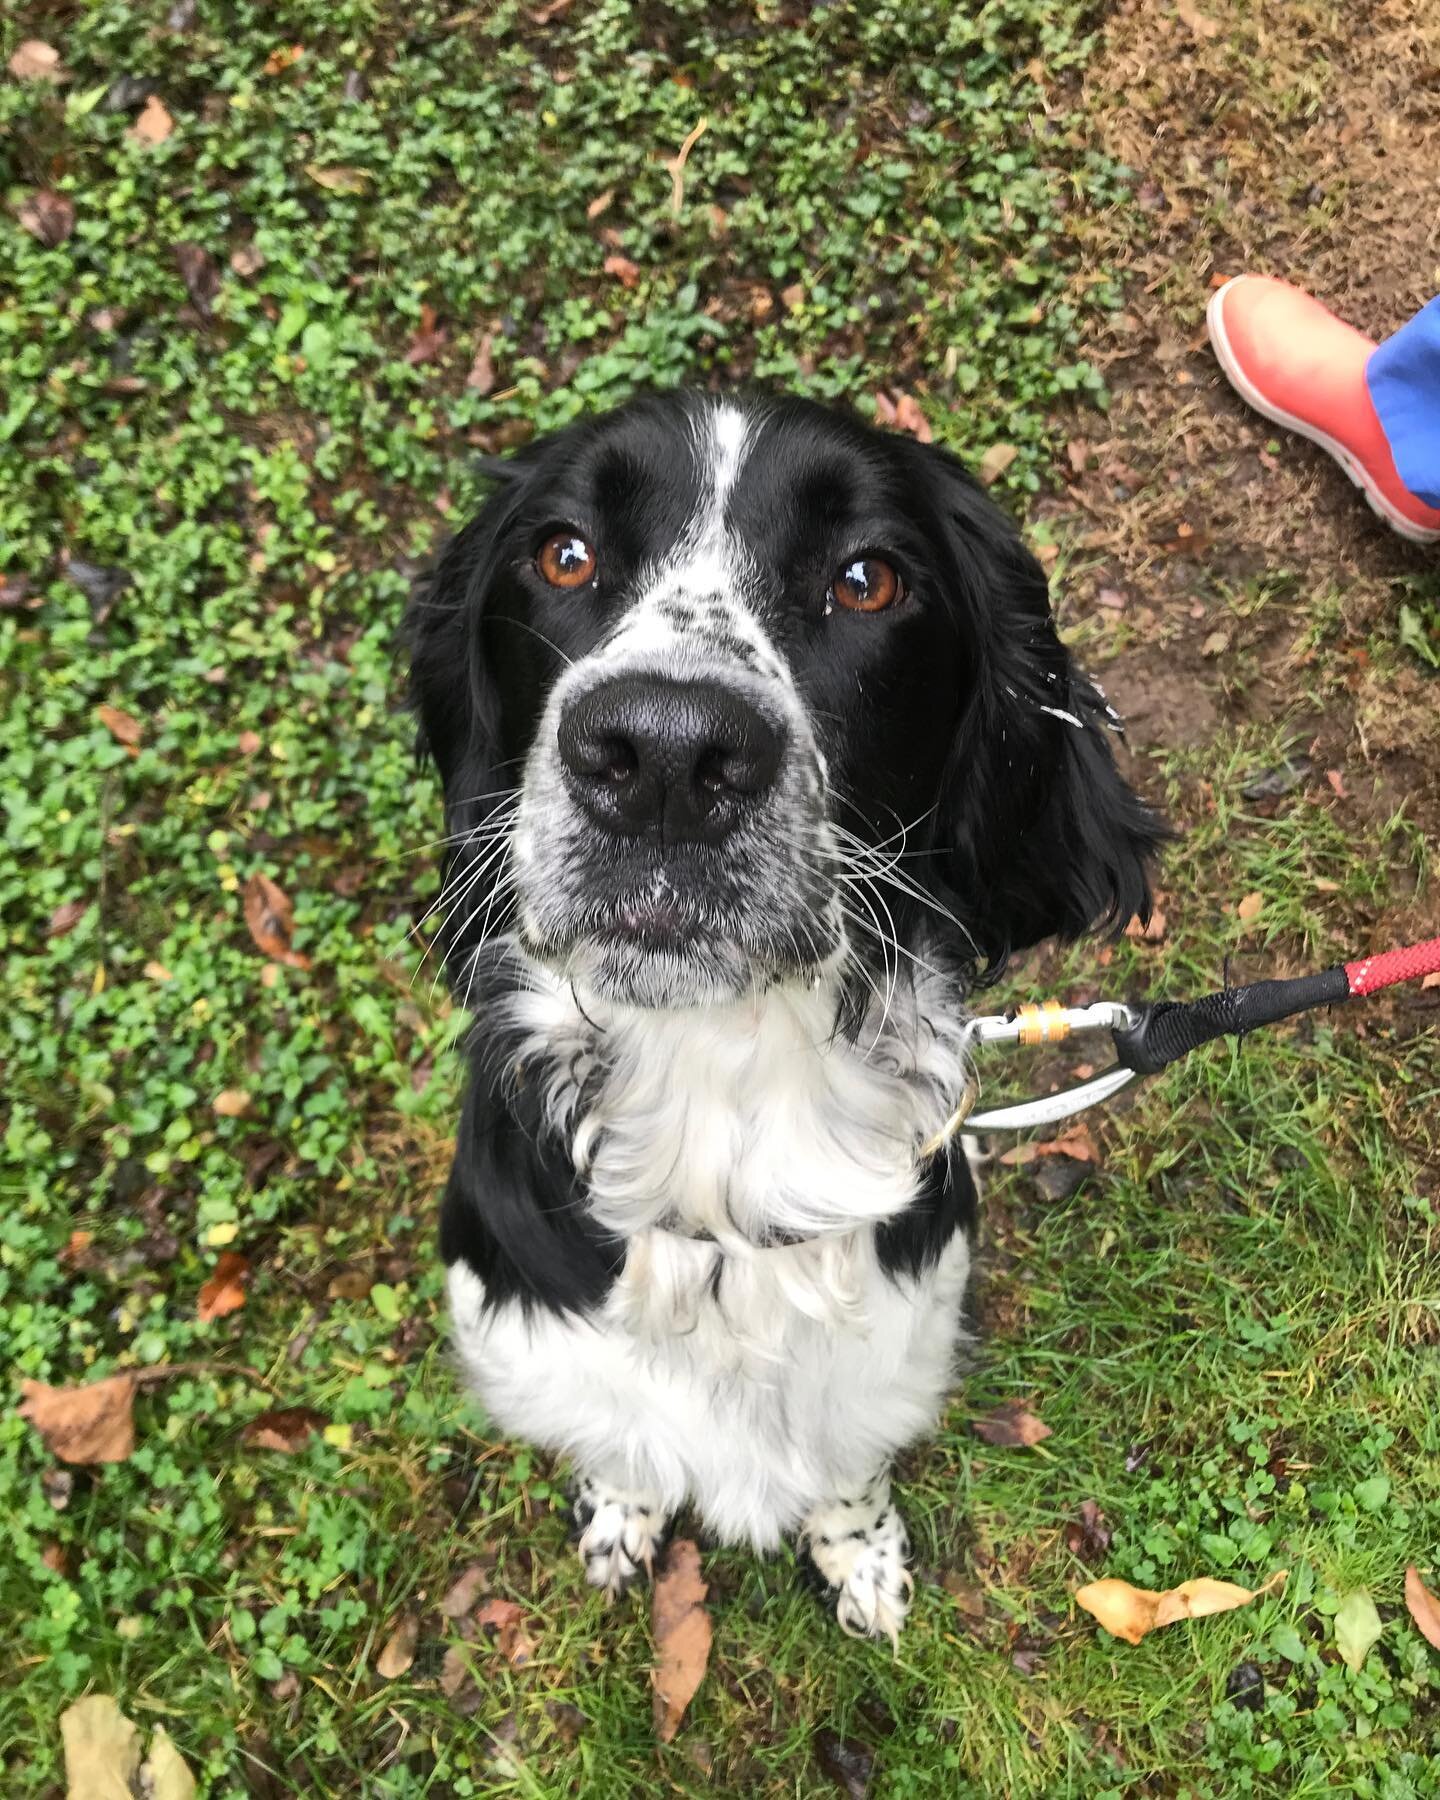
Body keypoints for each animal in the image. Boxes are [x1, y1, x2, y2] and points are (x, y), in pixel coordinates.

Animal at [410, 390, 1166, 1648]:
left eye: (868, 578)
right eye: (563, 554)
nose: (664, 754)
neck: (717, 1111)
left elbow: (844, 1472)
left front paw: (861, 1560)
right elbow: (622, 1441)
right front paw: (617, 1514)